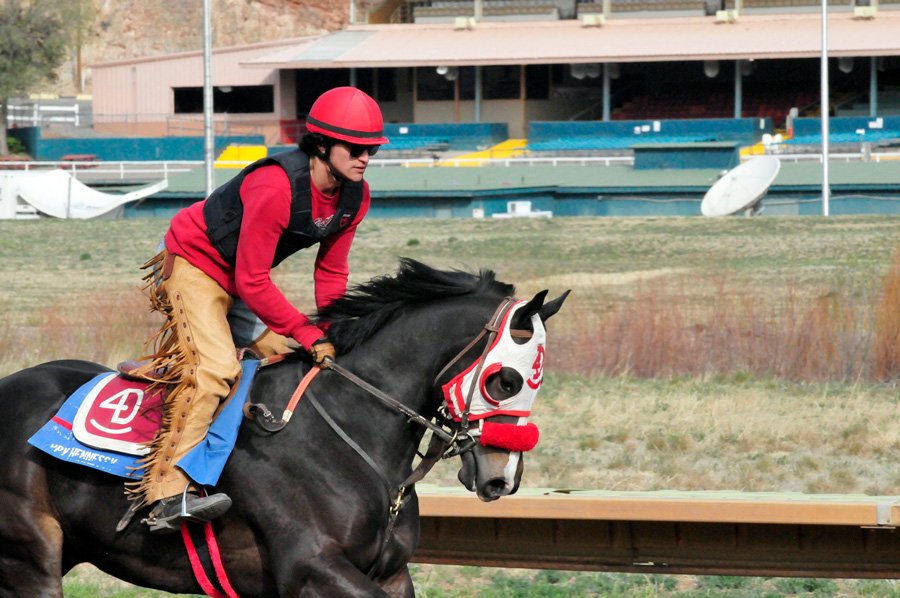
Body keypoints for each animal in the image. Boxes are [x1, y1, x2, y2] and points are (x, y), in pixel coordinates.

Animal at [0, 260, 568, 596]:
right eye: (505, 380)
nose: (501, 477)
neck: (347, 430)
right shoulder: (311, 568)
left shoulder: (389, 572)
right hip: (29, 559)